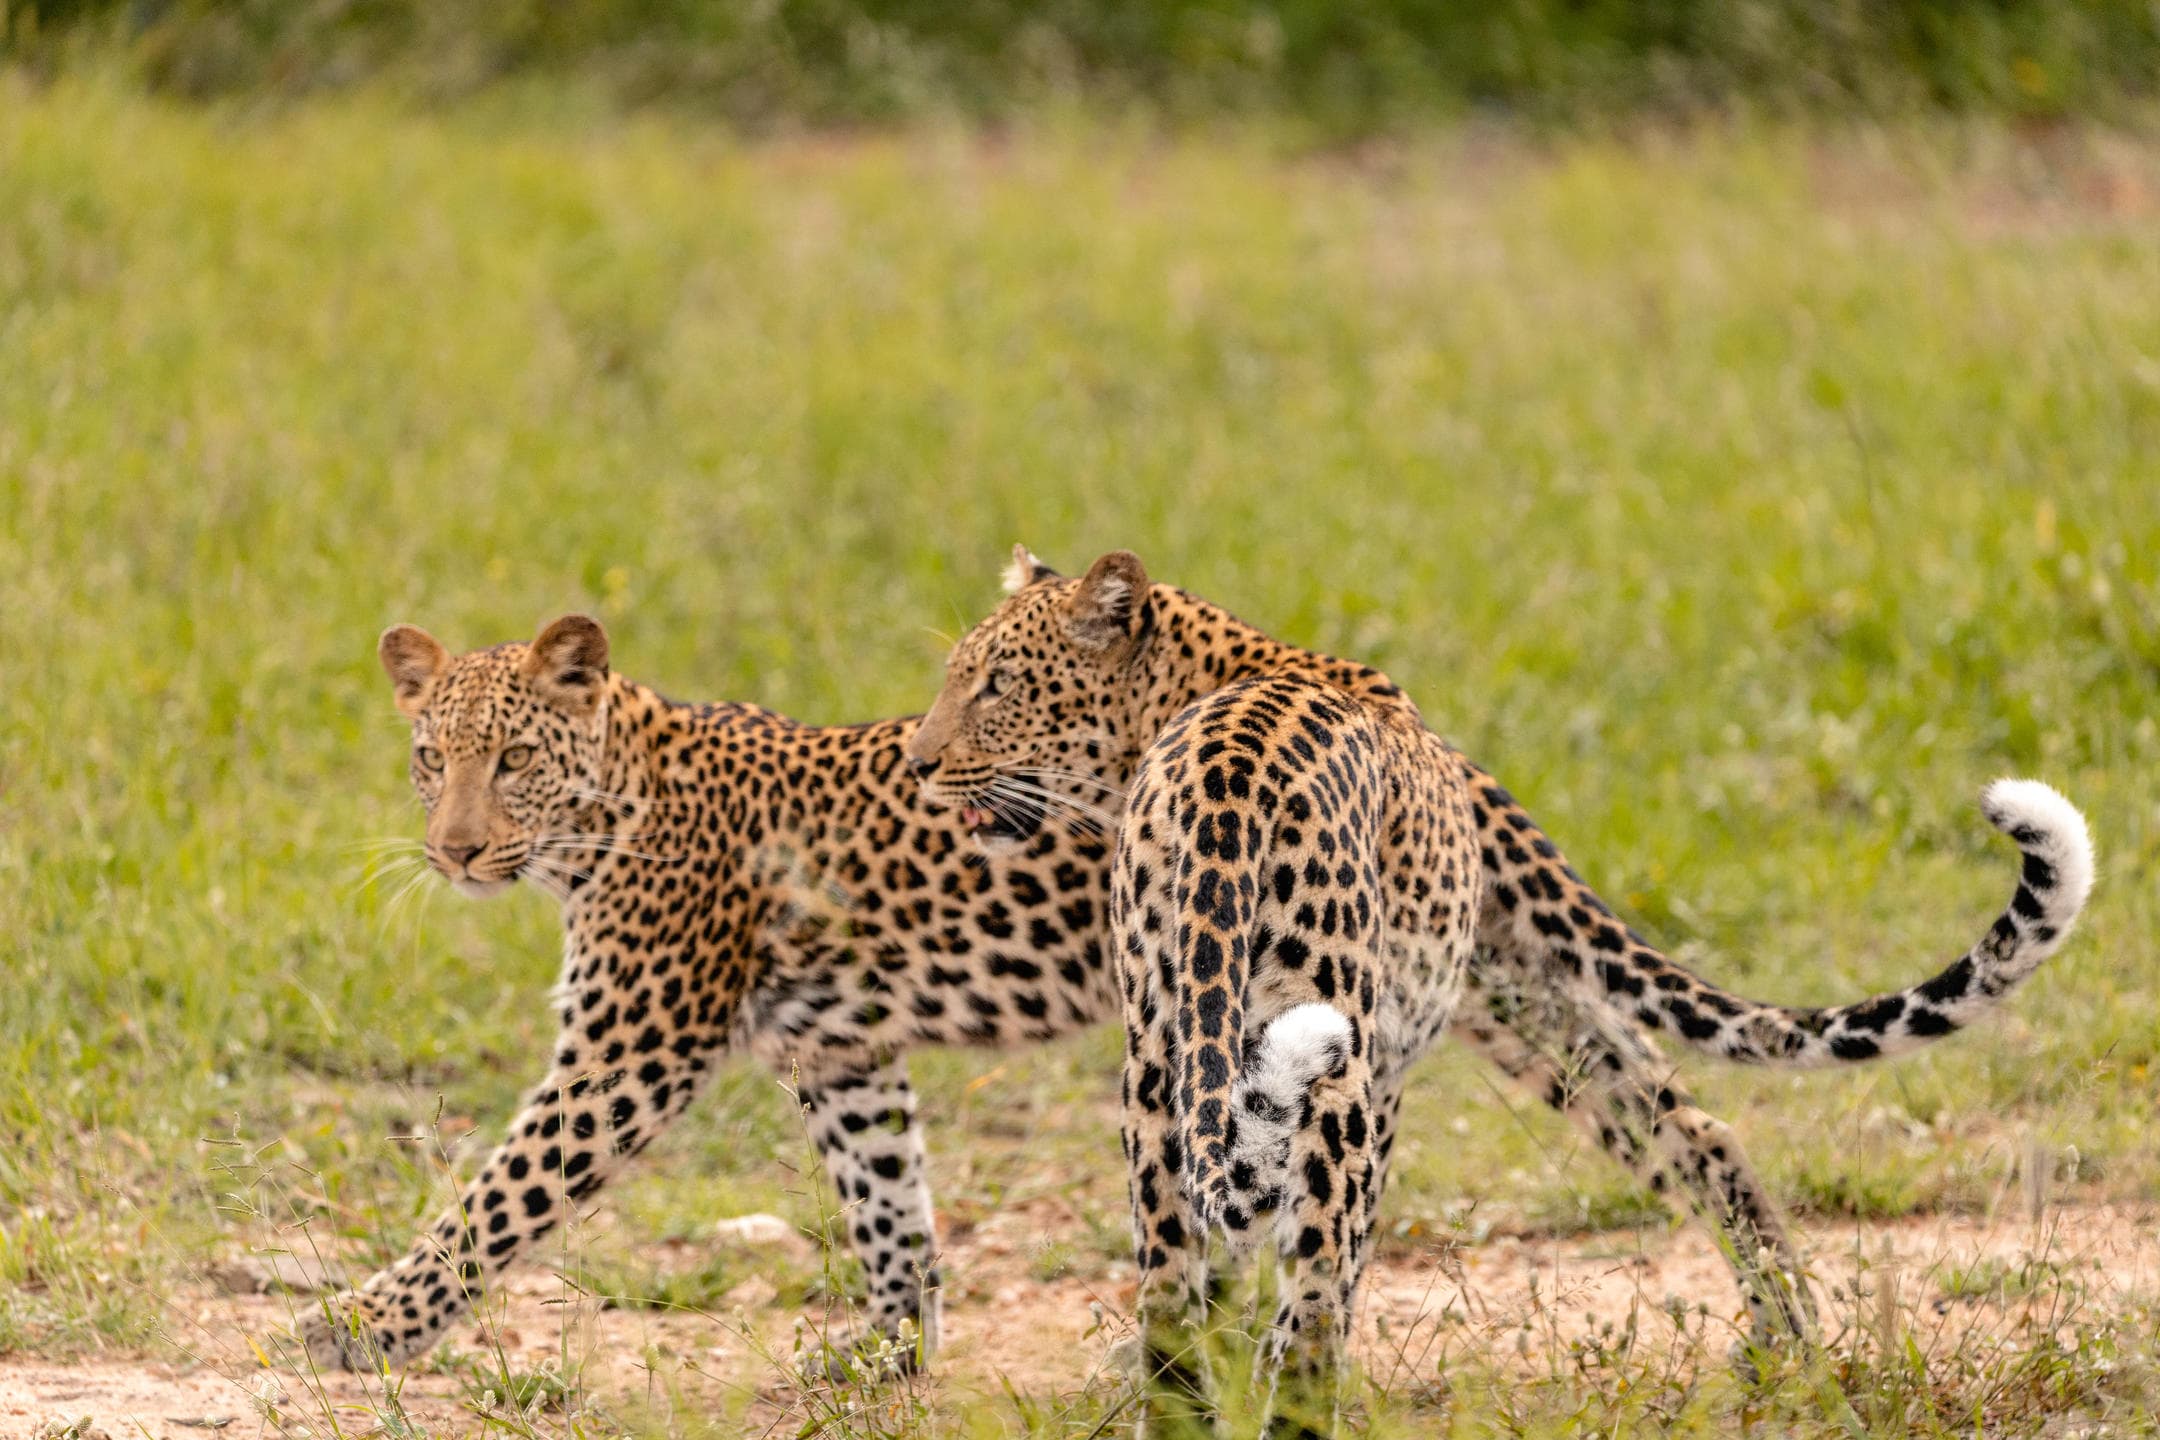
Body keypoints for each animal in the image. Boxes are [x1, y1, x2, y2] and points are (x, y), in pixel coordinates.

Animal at [903, 546, 2094, 1425]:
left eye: (994, 686)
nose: (918, 761)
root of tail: (1223, 794)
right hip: (1390, 1044)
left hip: (1241, 1051)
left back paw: (1785, 1342)